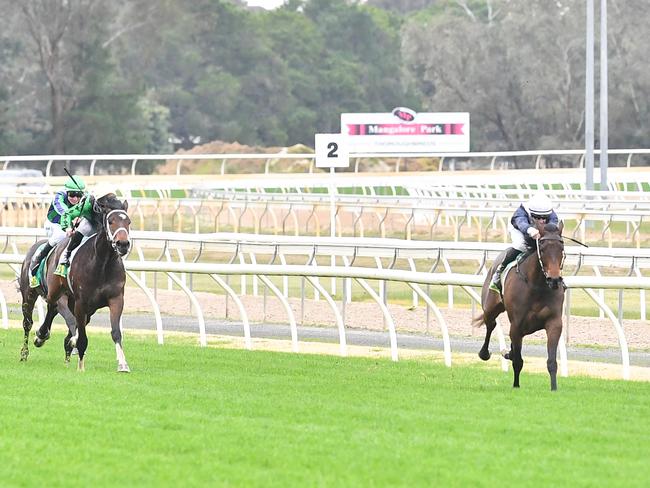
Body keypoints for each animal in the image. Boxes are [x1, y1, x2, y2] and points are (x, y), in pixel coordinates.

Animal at [18, 193, 132, 372]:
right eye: (111, 221)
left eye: (128, 222)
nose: (123, 244)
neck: (102, 264)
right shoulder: (80, 302)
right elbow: (80, 333)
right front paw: (80, 364)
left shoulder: (116, 299)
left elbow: (115, 332)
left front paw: (122, 364)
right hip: (33, 294)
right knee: (29, 321)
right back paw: (28, 349)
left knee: (54, 312)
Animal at [470, 219, 560, 390]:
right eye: (543, 249)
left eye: (562, 249)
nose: (554, 279)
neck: (536, 285)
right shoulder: (517, 324)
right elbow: (518, 361)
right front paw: (516, 386)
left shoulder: (554, 322)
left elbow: (552, 361)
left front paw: (554, 388)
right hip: (491, 307)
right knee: (490, 324)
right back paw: (484, 353)